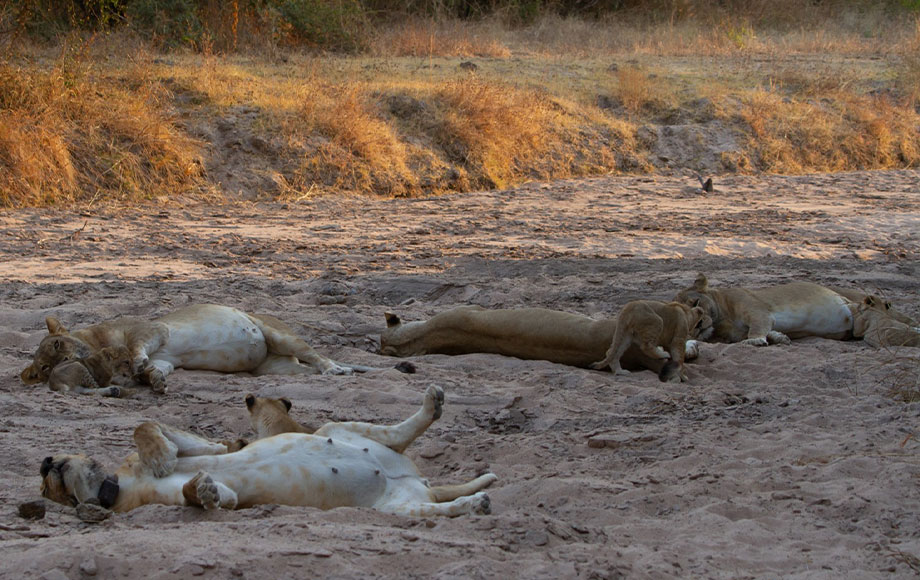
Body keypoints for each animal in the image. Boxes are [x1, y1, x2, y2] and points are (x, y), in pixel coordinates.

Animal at [37, 388, 496, 520]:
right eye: (47, 489)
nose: (44, 462)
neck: (118, 482)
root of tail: (419, 482)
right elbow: (198, 494)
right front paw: (205, 491)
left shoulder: (180, 444)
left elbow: (147, 426)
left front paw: (164, 456)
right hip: (393, 508)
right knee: (438, 509)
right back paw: (476, 503)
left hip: (337, 430)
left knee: (402, 431)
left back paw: (432, 404)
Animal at [668, 274, 856, 344]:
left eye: (696, 303)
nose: (699, 325)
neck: (722, 320)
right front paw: (779, 337)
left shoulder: (757, 311)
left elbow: (756, 328)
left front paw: (756, 340)